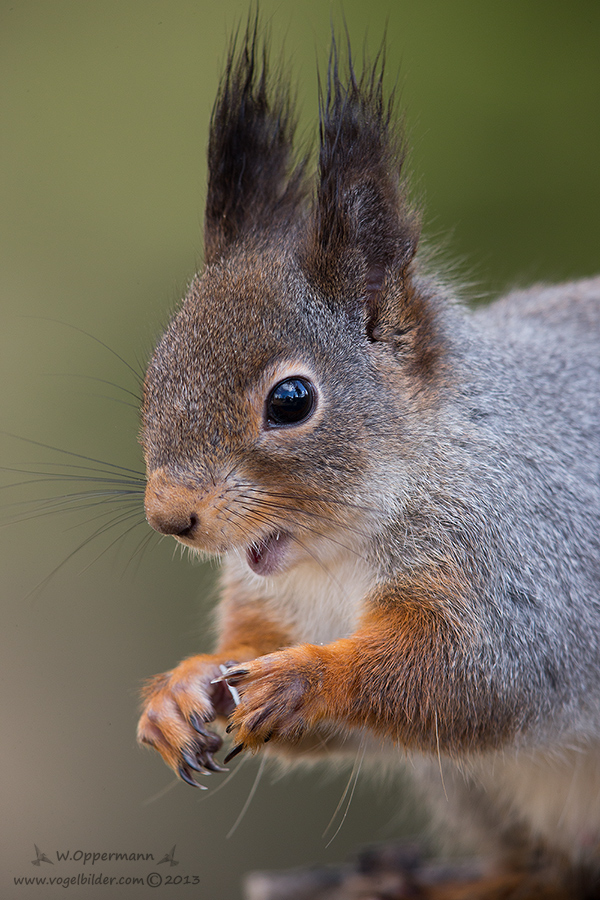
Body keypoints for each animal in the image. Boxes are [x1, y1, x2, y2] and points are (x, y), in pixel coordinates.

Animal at [136, 22, 600, 900]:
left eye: (291, 400)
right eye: (155, 373)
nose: (169, 517)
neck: (337, 554)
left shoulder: (524, 562)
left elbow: (474, 676)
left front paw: (310, 677)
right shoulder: (273, 600)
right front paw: (177, 691)